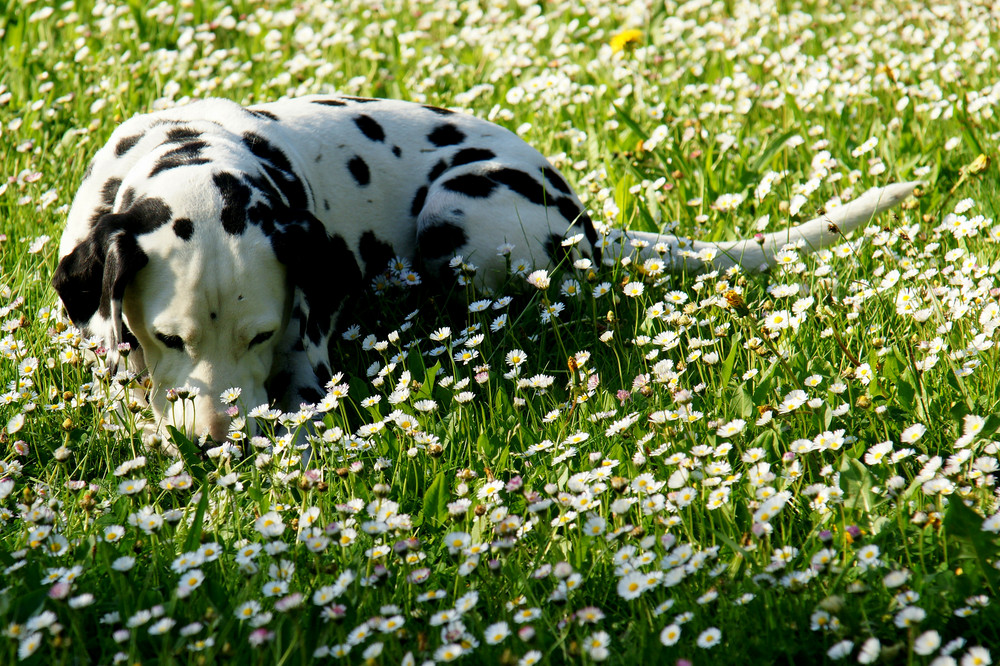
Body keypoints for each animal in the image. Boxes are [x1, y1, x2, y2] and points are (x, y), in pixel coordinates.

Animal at [52, 93, 916, 444]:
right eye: (169, 338)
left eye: (262, 335)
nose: (219, 445)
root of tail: (584, 216)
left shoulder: (305, 364)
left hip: (461, 214)